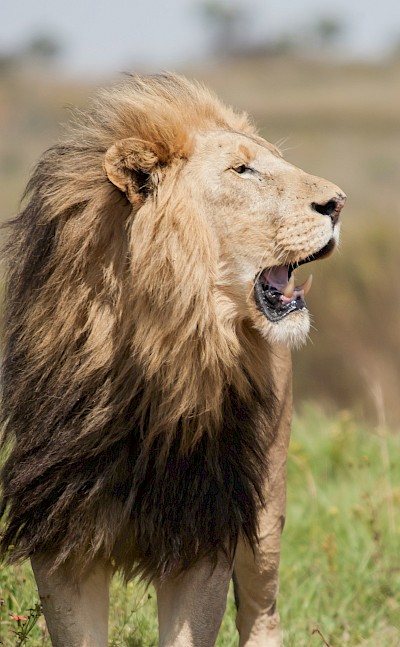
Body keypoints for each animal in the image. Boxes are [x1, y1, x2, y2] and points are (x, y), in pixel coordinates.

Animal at [0, 74, 345, 647]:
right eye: (243, 170)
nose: (339, 203)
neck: (156, 357)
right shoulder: (60, 534)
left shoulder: (204, 526)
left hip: (266, 509)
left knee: (262, 612)